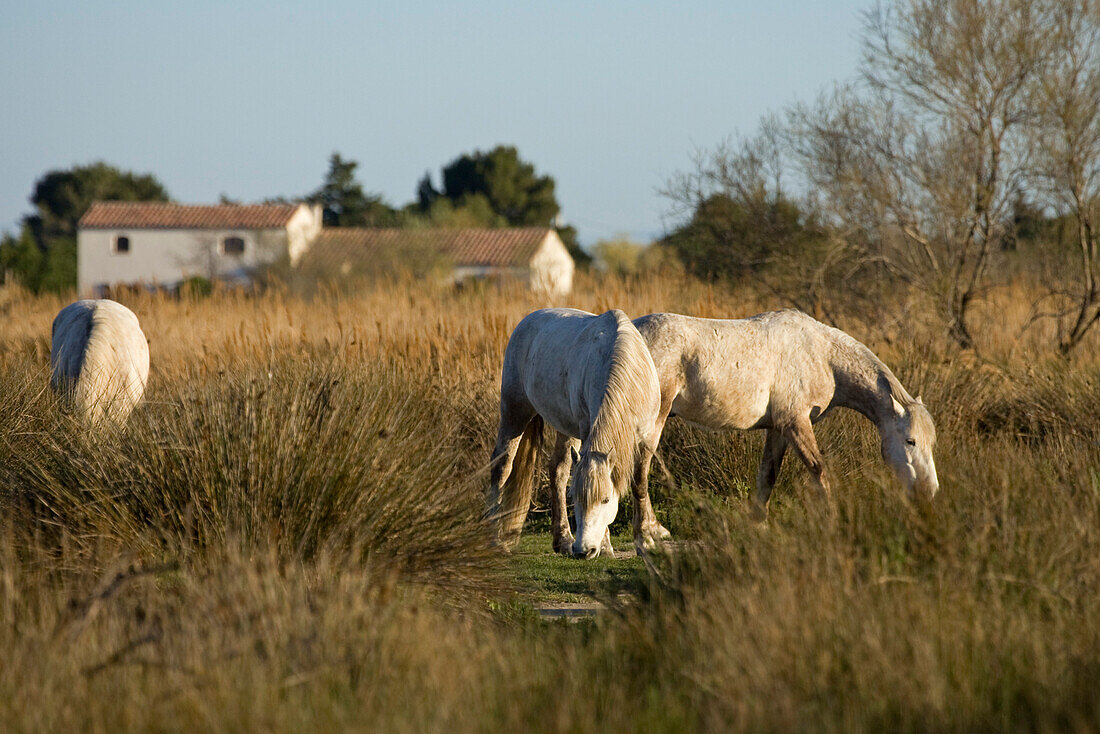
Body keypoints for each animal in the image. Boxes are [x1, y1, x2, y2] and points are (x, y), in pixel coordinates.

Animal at [488, 308, 660, 556]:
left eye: (606, 500)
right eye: (576, 499)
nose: (583, 550)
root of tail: (527, 320)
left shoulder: (648, 438)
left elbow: (640, 484)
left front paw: (645, 540)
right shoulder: (587, 428)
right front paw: (606, 546)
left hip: (565, 429)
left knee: (558, 471)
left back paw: (563, 540)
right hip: (514, 411)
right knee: (501, 467)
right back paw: (495, 539)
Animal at [624, 310, 941, 521]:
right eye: (911, 441)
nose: (929, 491)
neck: (822, 355)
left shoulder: (777, 429)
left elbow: (767, 477)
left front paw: (758, 526)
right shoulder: (795, 423)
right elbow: (819, 470)